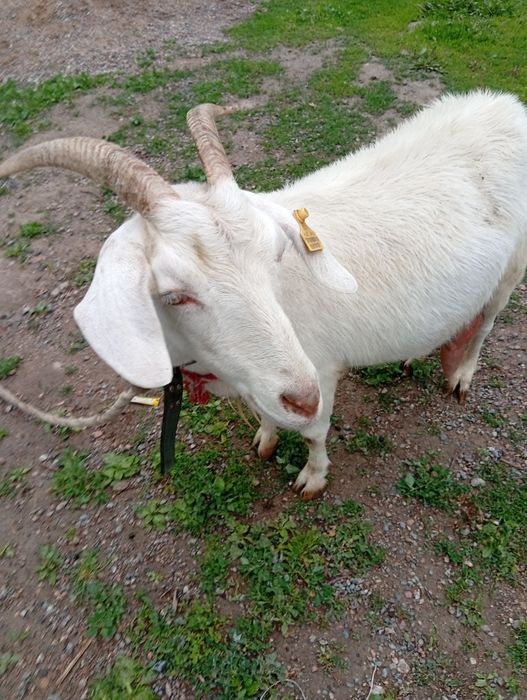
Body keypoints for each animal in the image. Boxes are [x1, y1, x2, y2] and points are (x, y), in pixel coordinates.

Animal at [1, 91, 526, 499]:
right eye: (173, 295)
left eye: (275, 254)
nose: (303, 396)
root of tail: (508, 106)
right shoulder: (256, 379)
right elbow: (263, 412)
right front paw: (266, 439)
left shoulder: (321, 368)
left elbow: (315, 433)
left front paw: (312, 477)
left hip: (511, 269)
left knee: (487, 322)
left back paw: (461, 375)